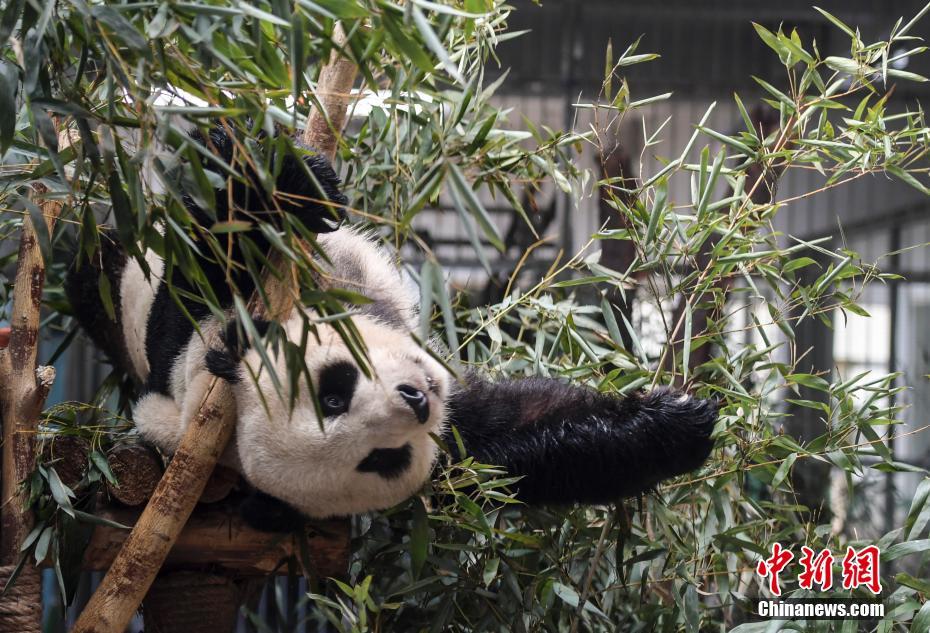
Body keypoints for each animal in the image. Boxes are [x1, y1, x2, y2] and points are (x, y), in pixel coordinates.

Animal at [67, 123, 716, 528]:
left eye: (333, 390)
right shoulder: (451, 446)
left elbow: (214, 260)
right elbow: (507, 451)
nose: (417, 399)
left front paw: (681, 419)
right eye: (380, 459)